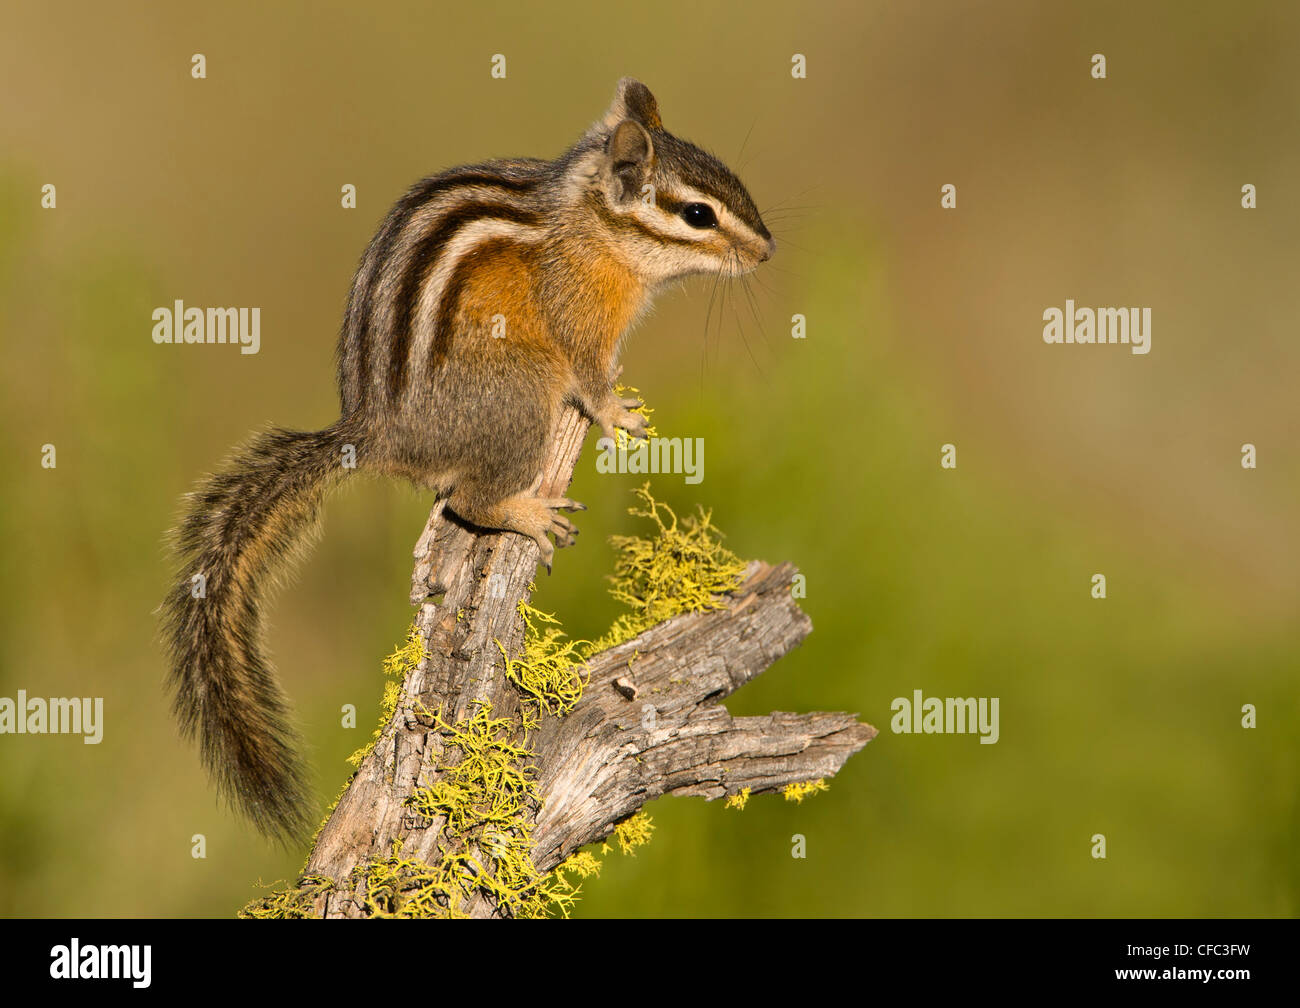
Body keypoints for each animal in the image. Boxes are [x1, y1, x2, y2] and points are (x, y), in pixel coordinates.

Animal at [162, 78, 775, 842]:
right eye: (698, 213)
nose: (767, 250)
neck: (592, 222)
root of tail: (375, 432)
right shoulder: (578, 318)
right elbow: (589, 377)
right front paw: (617, 415)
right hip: (520, 393)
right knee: (467, 500)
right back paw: (530, 514)